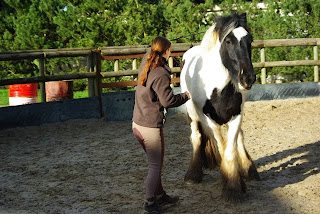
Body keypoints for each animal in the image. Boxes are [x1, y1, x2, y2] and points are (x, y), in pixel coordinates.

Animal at [180, 13, 260, 202]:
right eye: (228, 41)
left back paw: (249, 169)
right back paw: (193, 175)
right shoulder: (210, 120)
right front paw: (232, 188)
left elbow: (231, 148)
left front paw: (235, 186)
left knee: (239, 137)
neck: (219, 87)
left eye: (250, 40)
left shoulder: (237, 115)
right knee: (196, 137)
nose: (248, 78)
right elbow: (222, 149)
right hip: (192, 115)